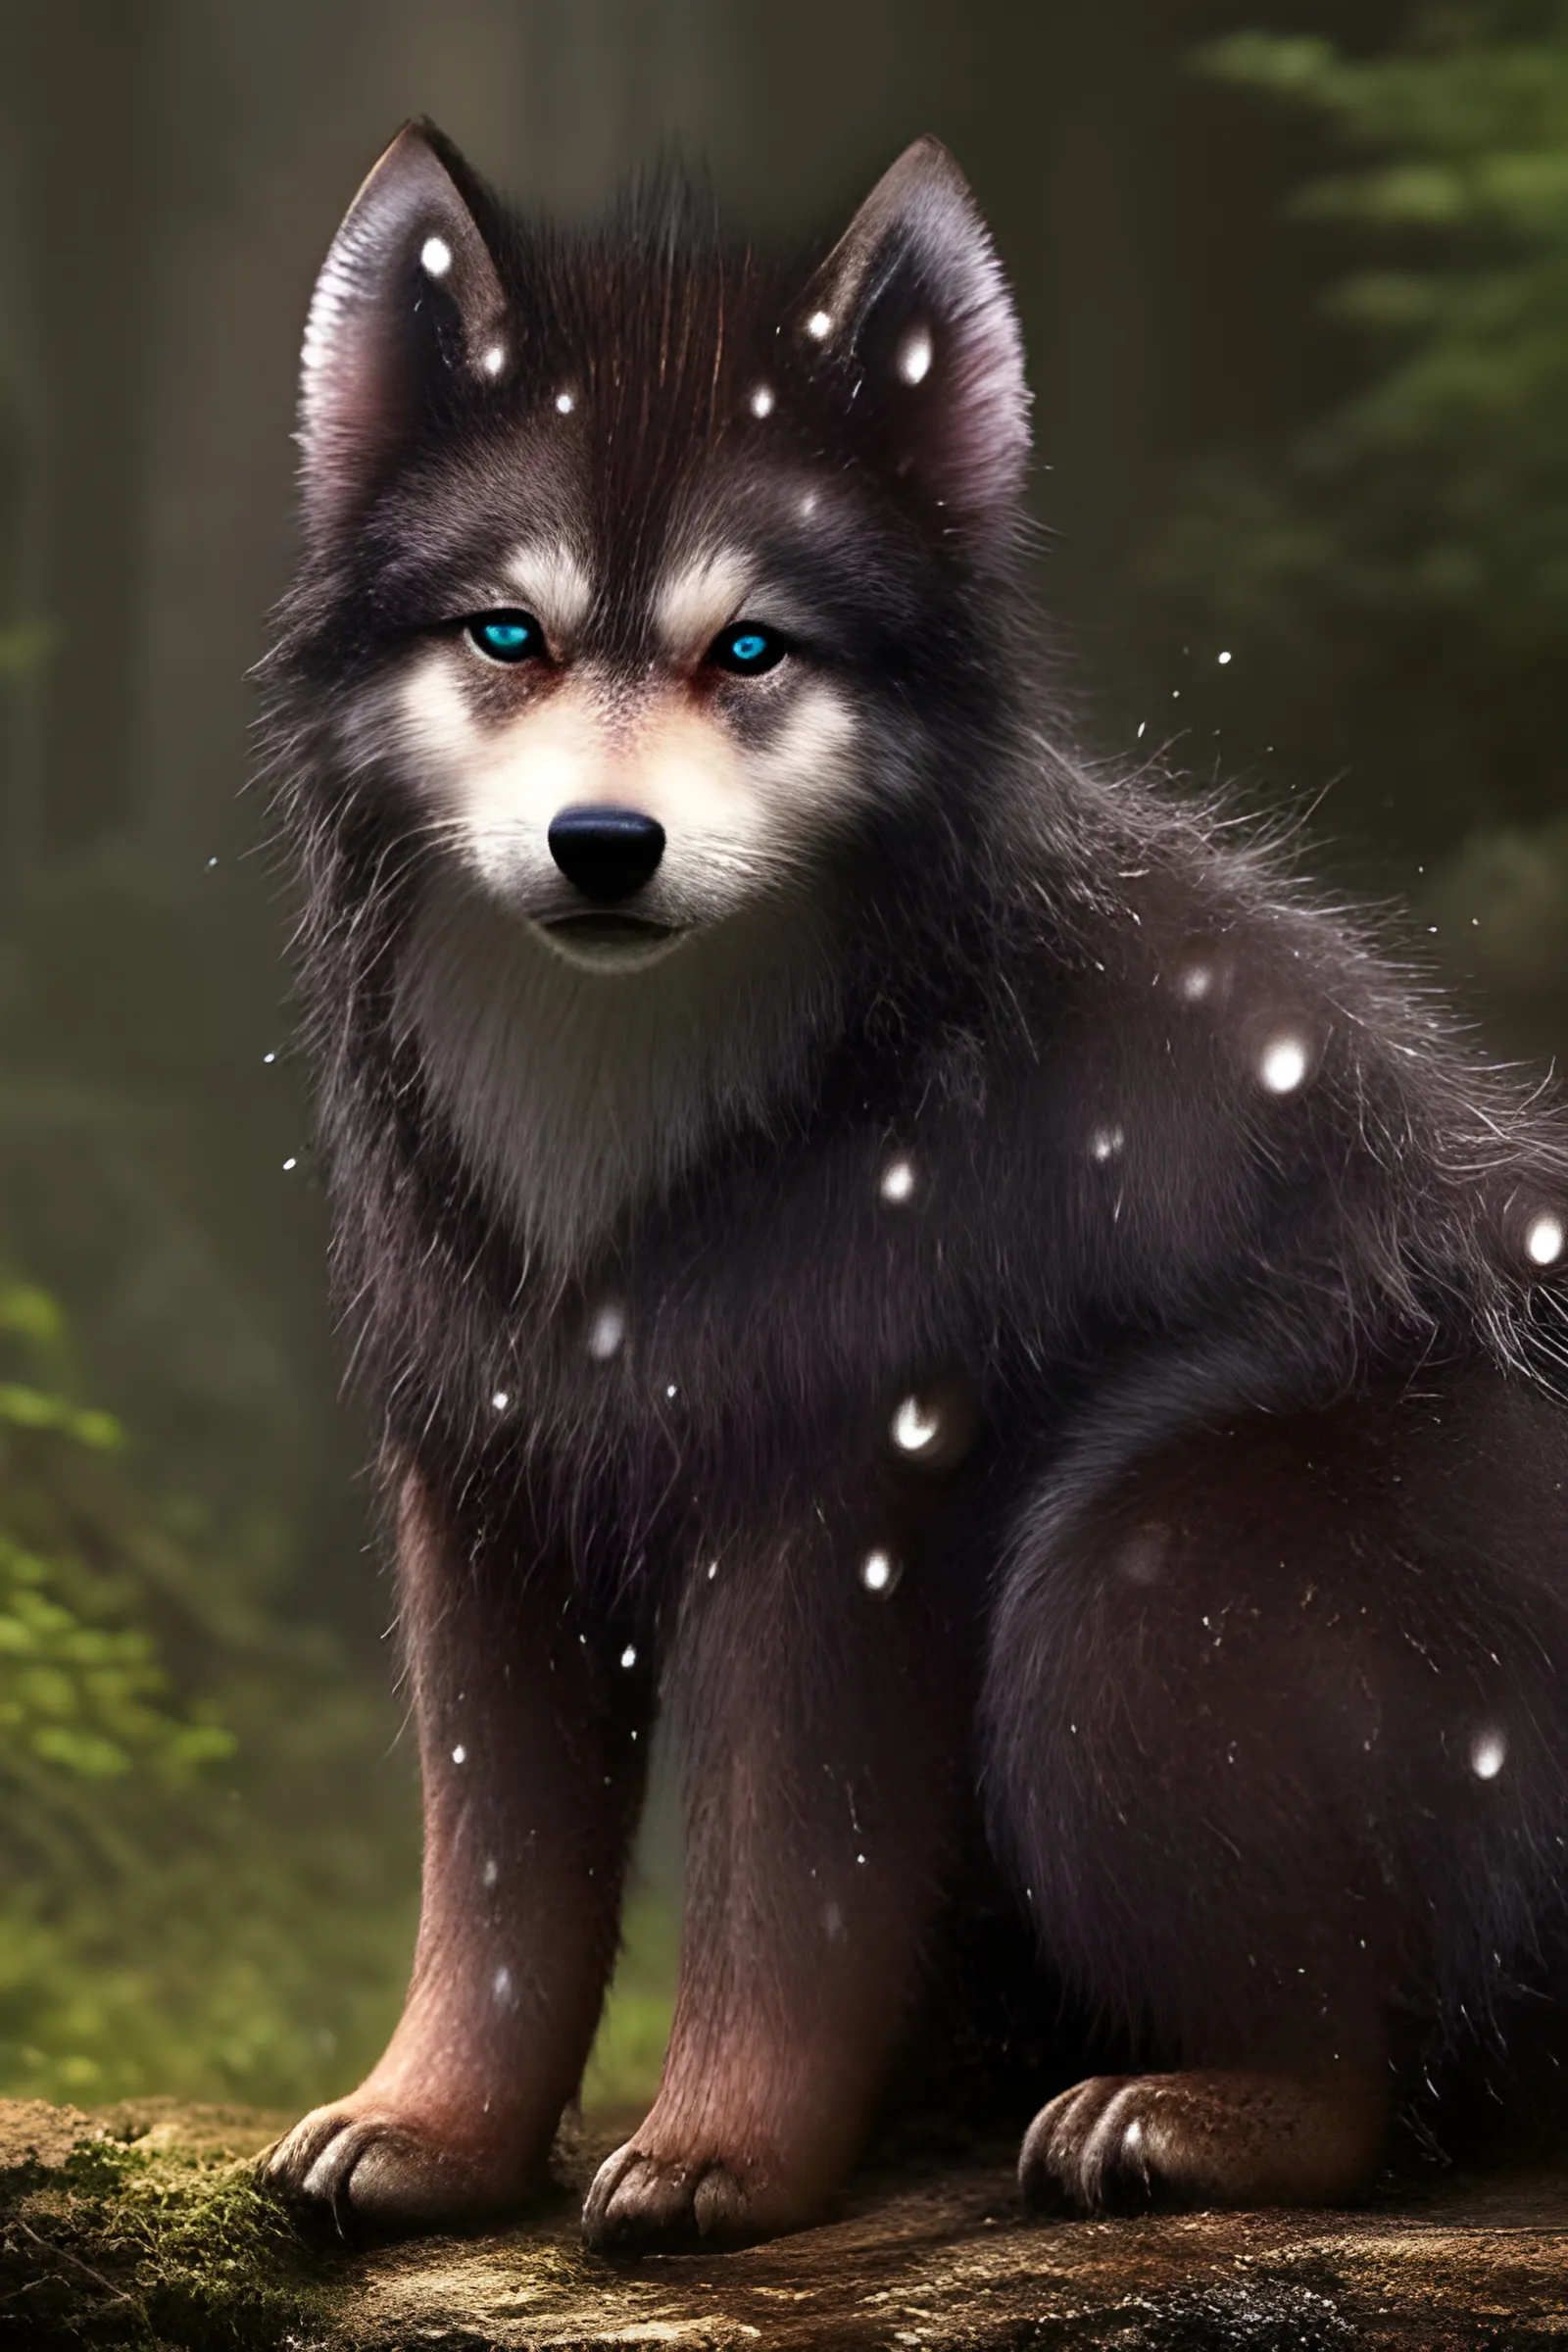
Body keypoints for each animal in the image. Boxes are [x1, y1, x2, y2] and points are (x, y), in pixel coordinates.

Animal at [261, 120, 1568, 2249]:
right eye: (509, 634)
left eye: (751, 649)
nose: (602, 844)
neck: (627, 1138)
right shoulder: (483, 1486)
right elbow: (497, 1890)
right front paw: (432, 2134)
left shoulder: (845, 1493)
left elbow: (785, 1891)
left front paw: (718, 2157)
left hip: (1127, 1571)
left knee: (1364, 2085)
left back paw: (1171, 2118)